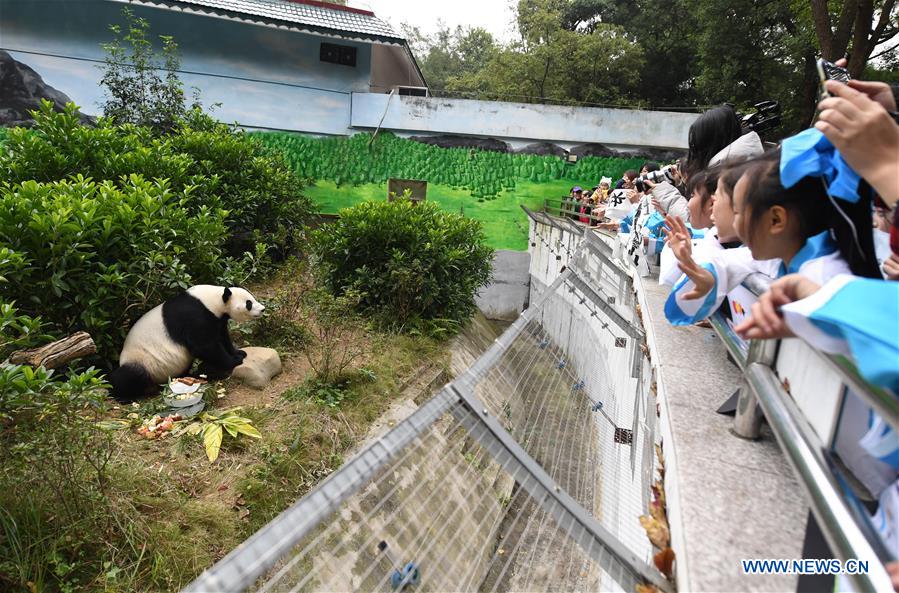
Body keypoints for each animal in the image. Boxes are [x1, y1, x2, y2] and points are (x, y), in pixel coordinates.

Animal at [108, 284, 264, 402]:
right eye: (249, 303)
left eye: (252, 298)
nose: (263, 309)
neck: (211, 299)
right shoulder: (195, 316)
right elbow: (204, 346)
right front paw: (234, 360)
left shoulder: (217, 319)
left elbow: (222, 336)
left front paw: (239, 352)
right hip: (141, 361)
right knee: (130, 375)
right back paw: (123, 396)